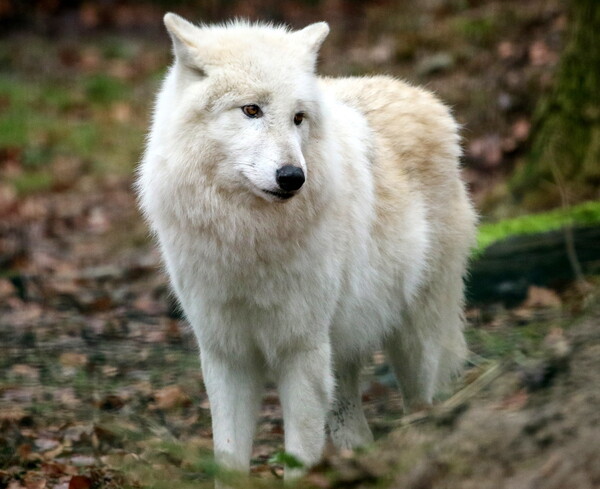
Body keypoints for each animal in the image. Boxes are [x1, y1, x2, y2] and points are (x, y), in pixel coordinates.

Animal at [137, 11, 478, 480]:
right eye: (251, 110)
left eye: (298, 118)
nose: (292, 177)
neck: (248, 238)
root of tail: (424, 96)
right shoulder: (225, 354)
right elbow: (229, 459)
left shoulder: (302, 349)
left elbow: (299, 458)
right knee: (355, 428)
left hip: (414, 342)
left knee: (422, 408)